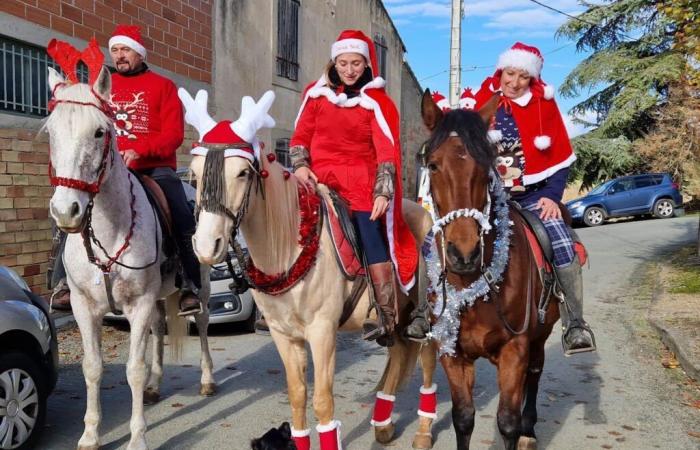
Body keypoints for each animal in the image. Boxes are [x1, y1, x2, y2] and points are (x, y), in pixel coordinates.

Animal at [45, 64, 215, 450]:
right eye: (51, 132)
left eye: (100, 132)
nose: (66, 211)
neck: (109, 230)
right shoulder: (83, 306)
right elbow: (92, 368)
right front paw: (90, 434)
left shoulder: (138, 303)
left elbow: (133, 370)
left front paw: (137, 438)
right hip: (158, 298)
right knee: (159, 328)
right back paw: (154, 386)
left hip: (200, 288)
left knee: (201, 324)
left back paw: (207, 380)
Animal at [185, 89, 438, 450]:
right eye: (194, 172)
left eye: (243, 173)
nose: (207, 246)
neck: (289, 247)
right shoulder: (284, 335)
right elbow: (297, 396)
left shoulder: (322, 334)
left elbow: (322, 402)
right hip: (395, 319)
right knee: (399, 355)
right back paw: (384, 424)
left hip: (428, 317)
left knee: (427, 362)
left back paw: (423, 433)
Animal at [418, 89, 560, 450]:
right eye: (433, 165)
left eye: (487, 166)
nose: (464, 254)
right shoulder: (452, 353)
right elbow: (463, 418)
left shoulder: (515, 350)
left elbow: (507, 422)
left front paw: (519, 428)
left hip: (540, 335)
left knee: (535, 374)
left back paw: (529, 430)